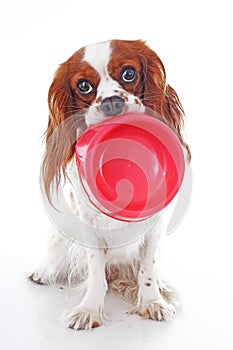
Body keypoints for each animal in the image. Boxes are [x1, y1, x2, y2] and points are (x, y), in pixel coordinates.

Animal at [29, 39, 190, 330]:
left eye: (128, 73)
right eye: (83, 85)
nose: (112, 101)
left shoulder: (156, 225)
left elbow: (147, 268)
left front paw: (152, 302)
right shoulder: (88, 224)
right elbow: (95, 272)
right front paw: (89, 310)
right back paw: (43, 272)